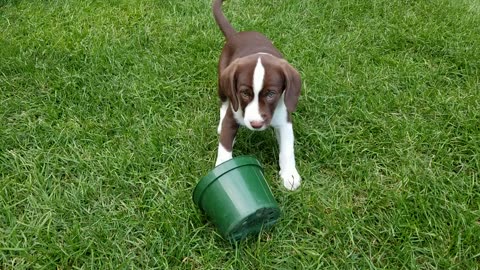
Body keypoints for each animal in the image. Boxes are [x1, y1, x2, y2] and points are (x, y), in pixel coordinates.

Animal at [213, 0, 302, 190]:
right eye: (245, 93)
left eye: (271, 94)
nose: (256, 124)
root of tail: (236, 35)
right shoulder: (233, 115)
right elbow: (224, 148)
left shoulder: (284, 119)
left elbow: (287, 149)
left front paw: (290, 175)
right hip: (222, 82)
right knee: (224, 102)